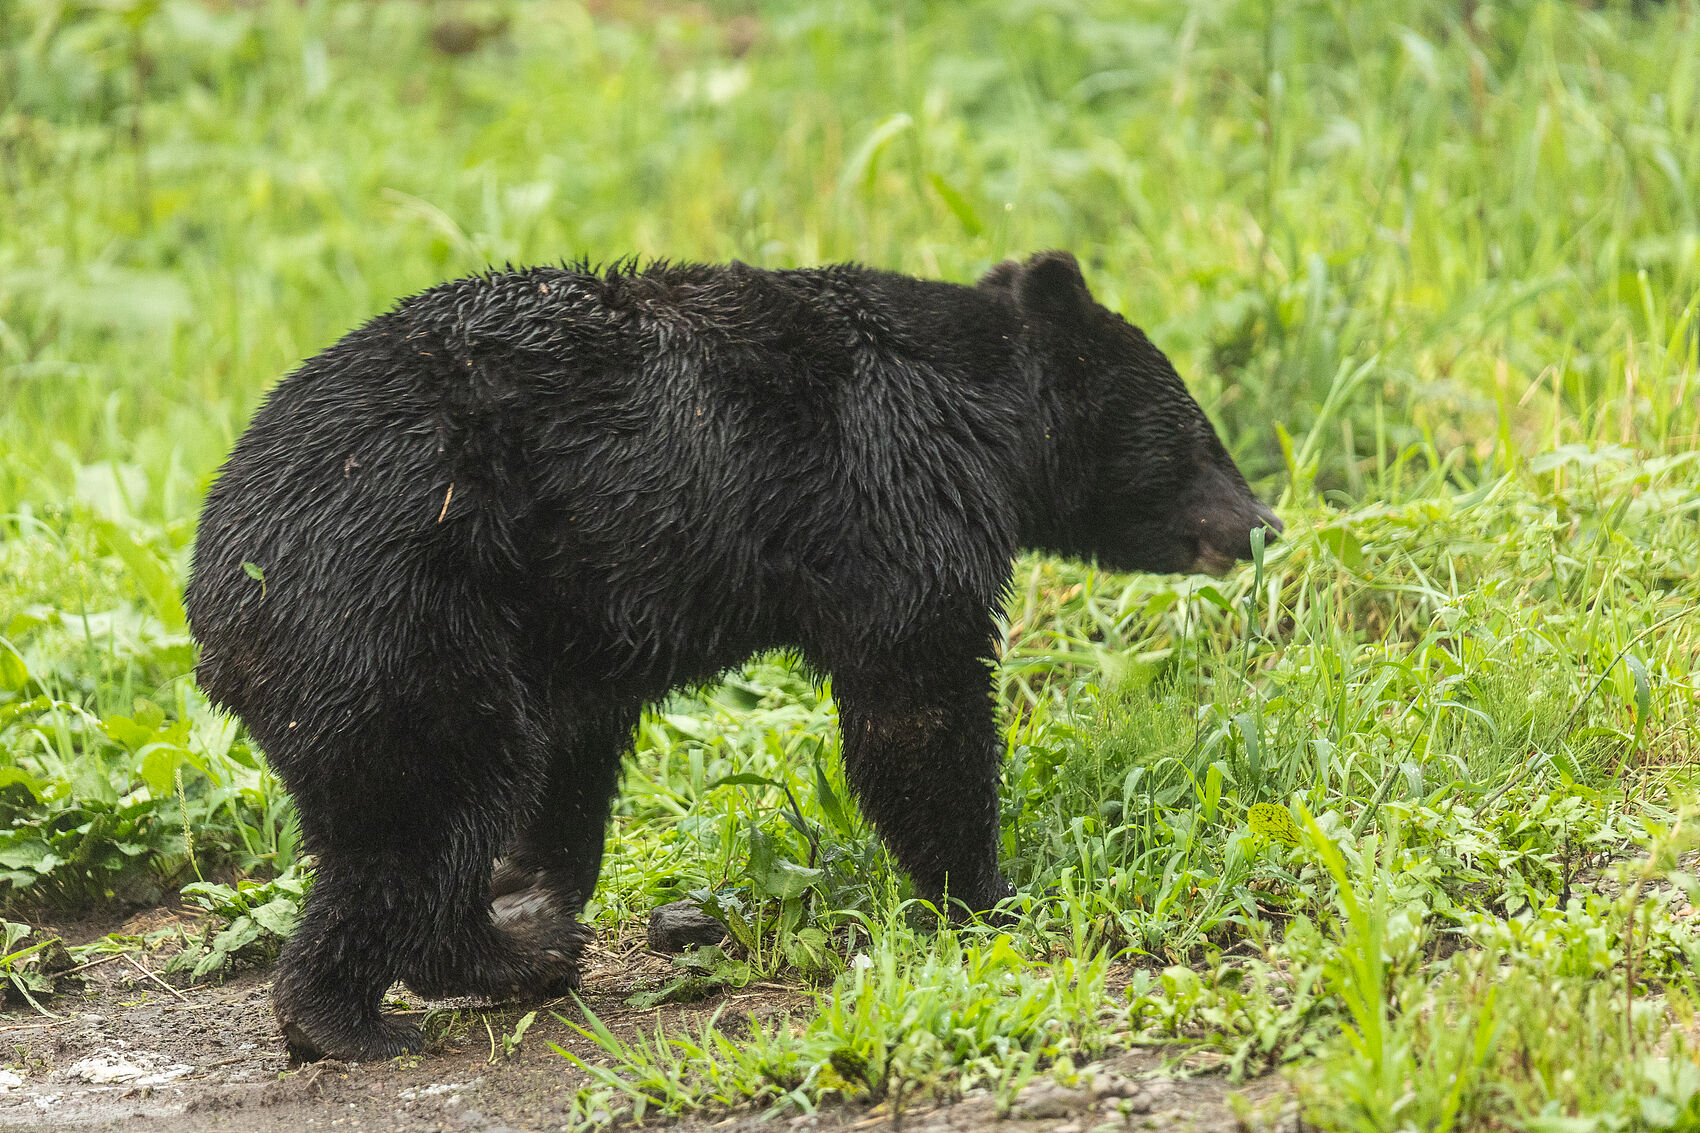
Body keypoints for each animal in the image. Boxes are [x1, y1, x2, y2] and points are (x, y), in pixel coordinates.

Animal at [184, 251, 1280, 1061]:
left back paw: (507, 947)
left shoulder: (582, 623)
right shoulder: (889, 497)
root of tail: (216, 599)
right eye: (1197, 438)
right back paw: (380, 1007)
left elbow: (576, 755)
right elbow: (918, 700)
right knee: (427, 811)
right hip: (397, 620)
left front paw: (535, 881)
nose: (1262, 523)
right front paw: (982, 890)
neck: (977, 414)